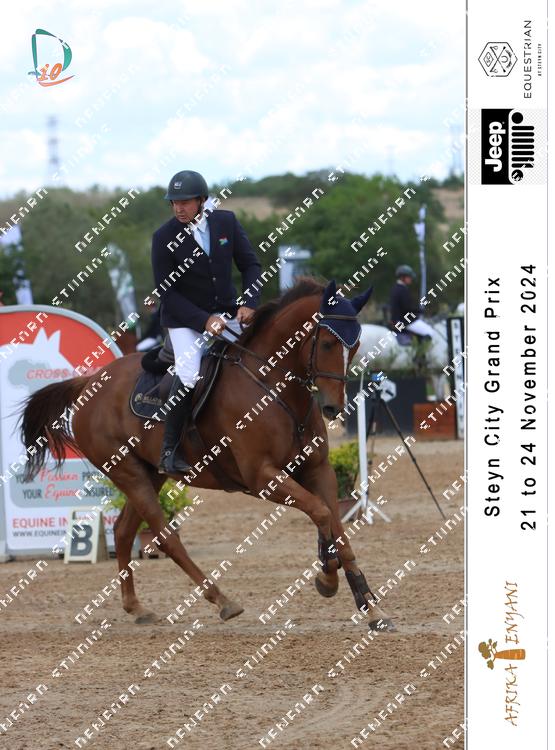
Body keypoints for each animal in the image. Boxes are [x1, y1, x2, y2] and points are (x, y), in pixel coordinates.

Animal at [20, 278, 395, 631]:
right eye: (329, 343)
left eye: (355, 345)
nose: (334, 408)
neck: (272, 385)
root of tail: (89, 382)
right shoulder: (262, 477)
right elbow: (320, 512)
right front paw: (327, 578)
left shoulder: (318, 470)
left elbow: (336, 525)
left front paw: (369, 605)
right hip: (128, 472)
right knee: (165, 537)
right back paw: (222, 600)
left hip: (149, 474)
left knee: (124, 532)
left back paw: (137, 608)